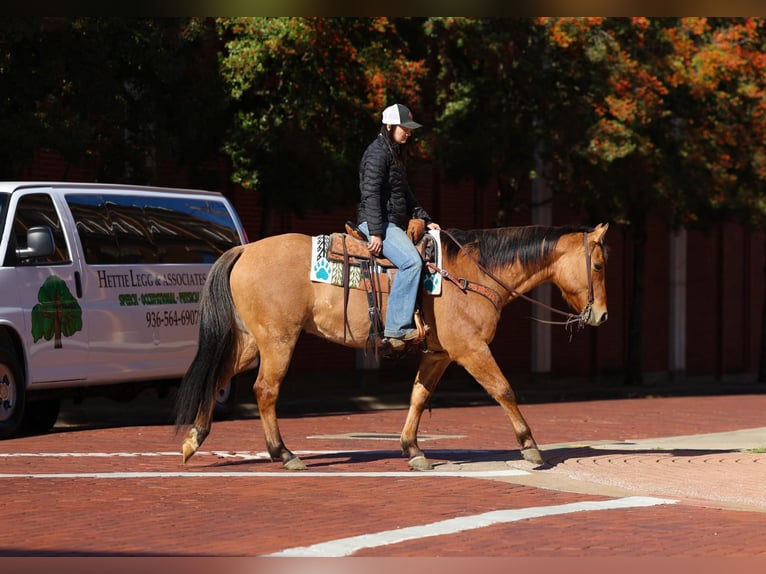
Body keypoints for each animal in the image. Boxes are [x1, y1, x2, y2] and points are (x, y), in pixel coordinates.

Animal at [176, 223, 612, 470]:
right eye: (598, 264)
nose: (604, 316)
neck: (471, 274)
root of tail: (246, 249)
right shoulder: (471, 349)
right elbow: (504, 390)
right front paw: (531, 447)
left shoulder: (440, 354)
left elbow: (418, 397)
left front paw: (412, 449)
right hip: (277, 340)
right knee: (265, 391)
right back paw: (283, 454)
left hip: (252, 342)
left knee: (218, 376)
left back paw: (195, 438)